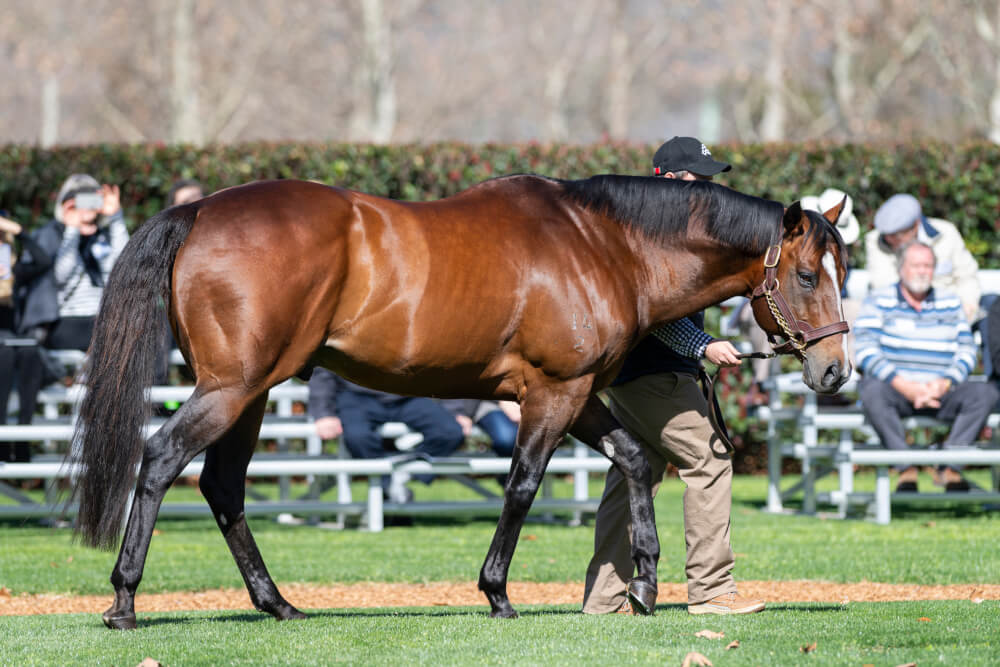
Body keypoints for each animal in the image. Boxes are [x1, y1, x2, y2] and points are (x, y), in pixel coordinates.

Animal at [70, 175, 852, 628]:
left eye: (842, 271)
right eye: (807, 275)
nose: (836, 370)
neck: (602, 243)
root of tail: (200, 210)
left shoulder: (578, 394)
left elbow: (633, 459)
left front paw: (646, 583)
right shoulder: (552, 392)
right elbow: (522, 487)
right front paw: (498, 591)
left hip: (253, 393)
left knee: (223, 486)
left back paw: (277, 602)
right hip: (232, 387)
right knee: (161, 458)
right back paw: (124, 599)